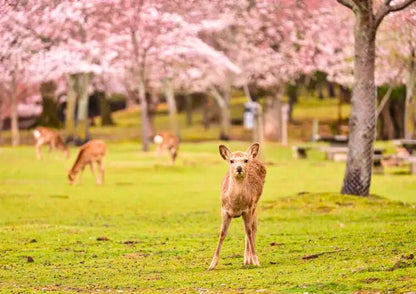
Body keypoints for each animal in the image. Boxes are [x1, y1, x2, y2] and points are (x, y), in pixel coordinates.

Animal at [208, 143, 266, 272]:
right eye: (231, 160)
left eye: (245, 160)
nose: (239, 168)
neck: (235, 205)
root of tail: (256, 158)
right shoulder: (224, 210)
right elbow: (222, 233)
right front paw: (212, 264)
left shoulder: (247, 209)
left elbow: (248, 232)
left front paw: (256, 261)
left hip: (255, 205)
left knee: (253, 228)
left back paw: (248, 259)